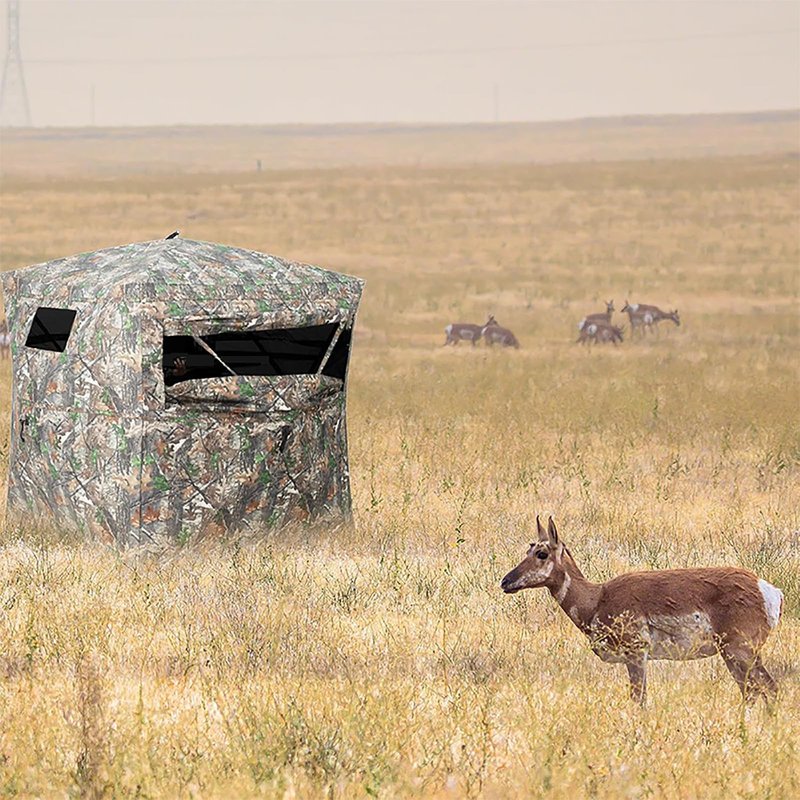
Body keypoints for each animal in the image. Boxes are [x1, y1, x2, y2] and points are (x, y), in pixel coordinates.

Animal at [501, 516, 783, 706]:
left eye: (541, 553)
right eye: (528, 548)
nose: (505, 581)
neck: (597, 598)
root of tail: (768, 589)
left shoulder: (636, 653)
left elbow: (639, 699)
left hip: (739, 651)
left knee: (765, 688)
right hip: (738, 654)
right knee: (757, 691)